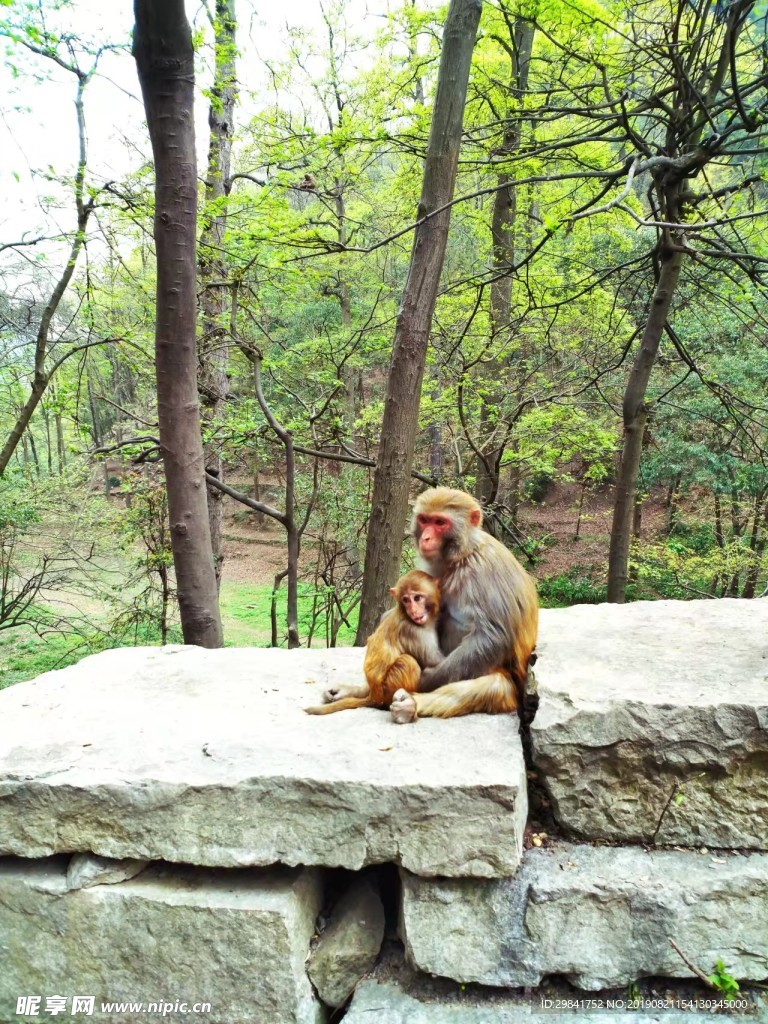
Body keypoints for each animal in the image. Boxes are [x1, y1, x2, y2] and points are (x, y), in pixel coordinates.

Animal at [303, 573, 442, 716]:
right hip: (389, 689)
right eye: (406, 600)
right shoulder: (414, 631)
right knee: (407, 662)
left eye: (417, 598)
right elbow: (435, 665)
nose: (413, 610)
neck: (402, 611)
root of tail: (374, 696)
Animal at [391, 485, 536, 720]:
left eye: (440, 523)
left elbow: (492, 636)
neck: (463, 554)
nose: (426, 538)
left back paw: (411, 705)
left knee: (494, 685)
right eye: (424, 520)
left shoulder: (484, 572)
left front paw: (426, 679)